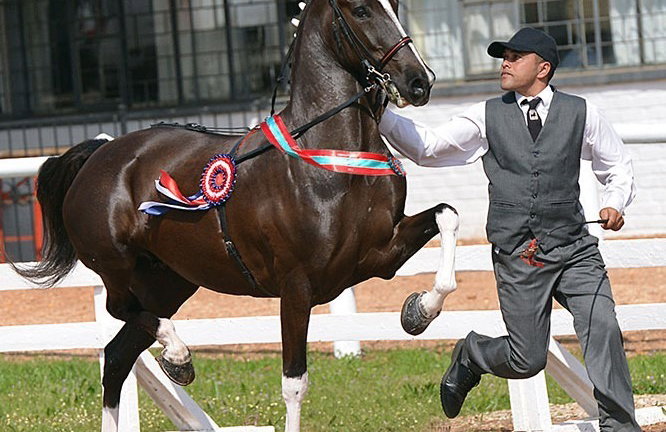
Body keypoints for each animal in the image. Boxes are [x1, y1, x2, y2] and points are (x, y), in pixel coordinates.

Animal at [16, 0, 460, 430]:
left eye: (395, 5)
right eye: (362, 10)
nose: (419, 81)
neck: (332, 160)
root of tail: (99, 153)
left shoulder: (379, 256)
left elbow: (447, 217)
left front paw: (419, 311)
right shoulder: (296, 287)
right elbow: (294, 383)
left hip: (168, 283)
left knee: (116, 357)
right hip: (117, 266)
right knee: (119, 312)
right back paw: (178, 356)